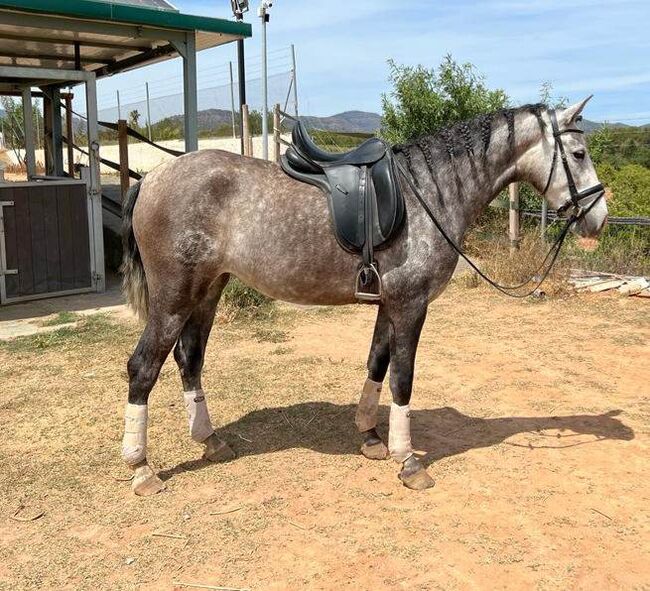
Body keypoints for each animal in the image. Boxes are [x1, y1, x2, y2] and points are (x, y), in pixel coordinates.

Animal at [119, 97, 604, 494]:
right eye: (579, 154)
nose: (598, 216)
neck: (428, 193)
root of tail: (151, 178)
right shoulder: (411, 305)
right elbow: (403, 379)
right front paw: (408, 461)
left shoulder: (390, 304)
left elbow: (377, 363)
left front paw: (370, 437)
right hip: (174, 297)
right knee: (143, 367)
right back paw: (142, 469)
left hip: (207, 290)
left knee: (190, 359)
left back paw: (210, 440)